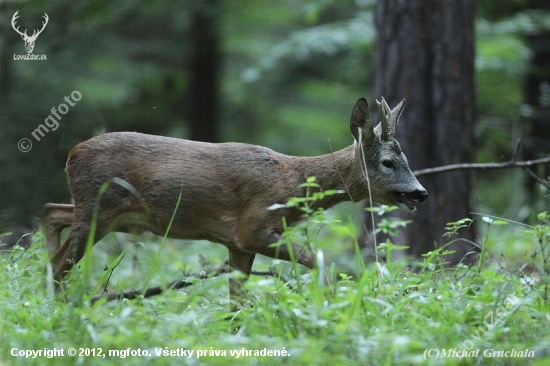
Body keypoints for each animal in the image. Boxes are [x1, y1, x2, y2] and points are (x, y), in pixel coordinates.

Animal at [45, 96, 430, 306]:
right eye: (388, 162)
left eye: (408, 159)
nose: (420, 193)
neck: (290, 185)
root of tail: (71, 154)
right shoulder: (253, 229)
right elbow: (316, 261)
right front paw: (331, 301)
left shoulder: (237, 245)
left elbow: (236, 301)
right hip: (99, 210)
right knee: (60, 259)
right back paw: (63, 309)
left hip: (108, 214)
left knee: (52, 214)